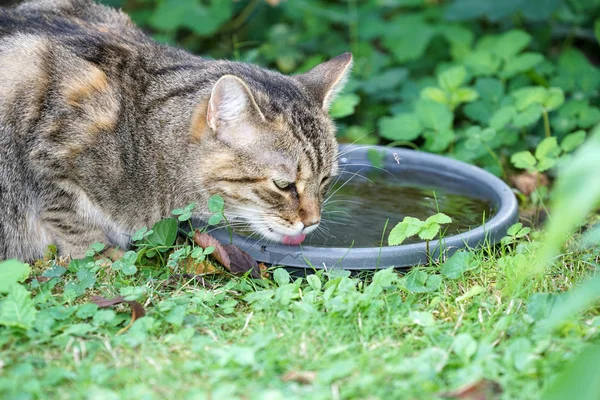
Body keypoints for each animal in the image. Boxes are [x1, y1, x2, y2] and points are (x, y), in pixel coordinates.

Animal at [0, 0, 352, 260]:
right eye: (283, 185)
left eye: (324, 180)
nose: (312, 222)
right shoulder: (46, 161)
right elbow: (73, 223)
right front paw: (102, 258)